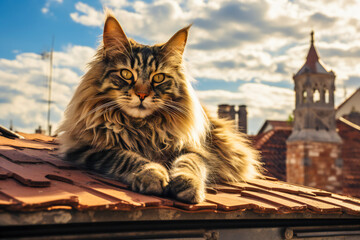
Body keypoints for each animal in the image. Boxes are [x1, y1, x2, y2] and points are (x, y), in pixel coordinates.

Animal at [58, 13, 262, 203]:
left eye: (158, 77)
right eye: (126, 74)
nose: (142, 95)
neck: (141, 127)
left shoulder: (199, 150)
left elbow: (189, 163)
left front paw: (188, 184)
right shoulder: (89, 148)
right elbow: (127, 157)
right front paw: (153, 175)